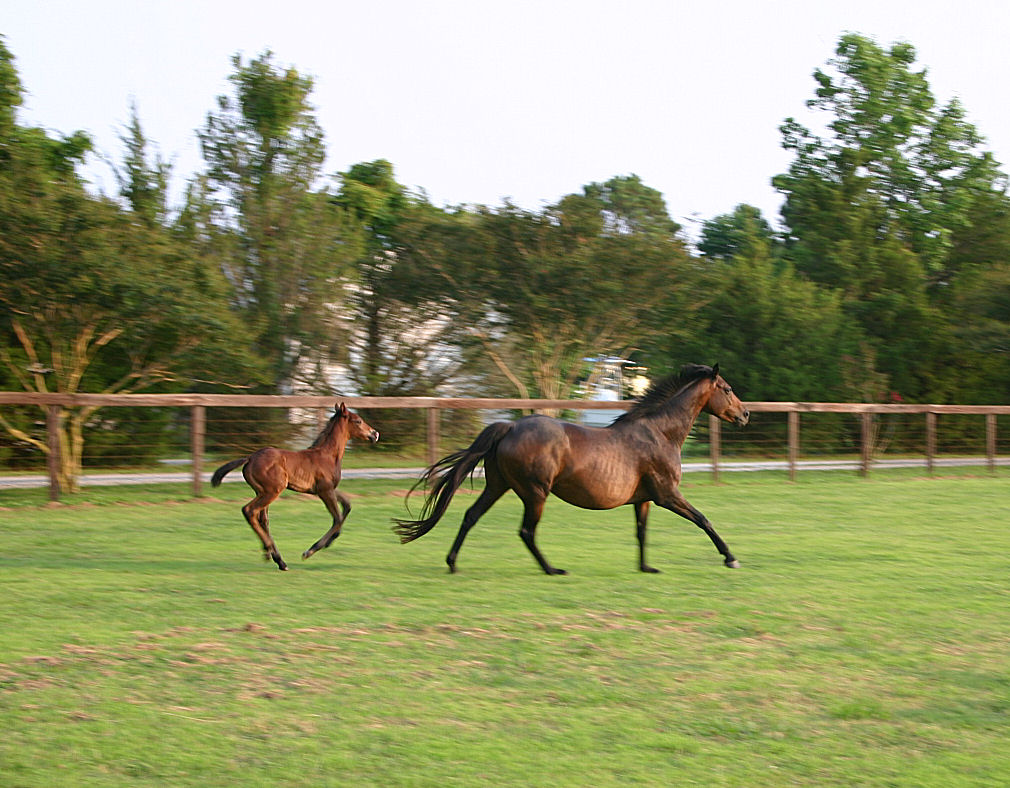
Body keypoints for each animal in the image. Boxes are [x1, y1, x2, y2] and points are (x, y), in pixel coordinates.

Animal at [211, 402, 379, 570]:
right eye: (358, 421)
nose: (375, 434)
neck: (328, 455)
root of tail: (250, 458)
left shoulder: (325, 489)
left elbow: (347, 505)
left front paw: (330, 540)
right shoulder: (325, 490)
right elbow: (337, 518)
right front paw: (310, 550)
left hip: (261, 492)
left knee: (263, 519)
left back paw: (273, 555)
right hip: (272, 491)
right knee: (249, 511)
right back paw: (277, 557)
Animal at [393, 364, 749, 575]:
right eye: (728, 389)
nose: (745, 415)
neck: (660, 433)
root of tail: (510, 427)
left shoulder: (645, 499)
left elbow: (642, 532)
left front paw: (646, 567)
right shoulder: (667, 494)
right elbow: (703, 519)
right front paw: (730, 557)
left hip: (498, 486)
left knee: (471, 516)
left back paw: (453, 563)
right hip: (535, 492)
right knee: (526, 531)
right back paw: (552, 569)